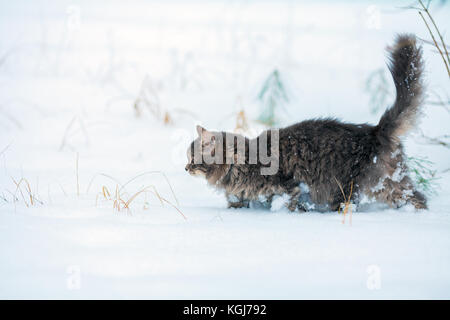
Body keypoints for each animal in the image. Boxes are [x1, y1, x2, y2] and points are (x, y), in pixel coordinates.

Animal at [185, 35, 428, 211]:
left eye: (193, 158)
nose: (186, 168)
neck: (241, 162)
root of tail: (374, 130)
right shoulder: (241, 196)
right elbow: (238, 202)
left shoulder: (289, 187)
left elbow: (288, 204)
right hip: (391, 183)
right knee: (417, 197)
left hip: (346, 188)